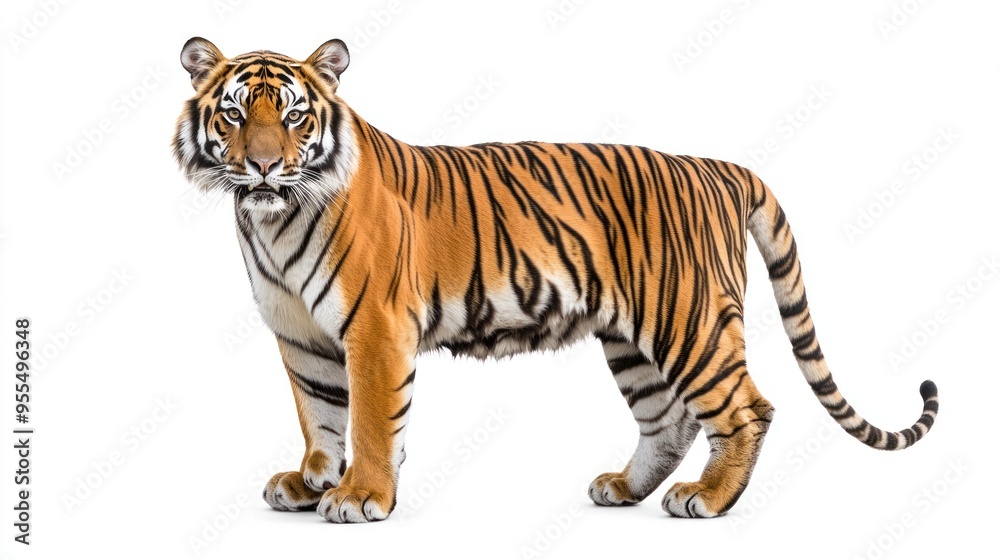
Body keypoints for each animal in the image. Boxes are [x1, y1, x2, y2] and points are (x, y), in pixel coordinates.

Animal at [172, 37, 939, 523]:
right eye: (234, 113)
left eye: (294, 115)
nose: (264, 165)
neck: (271, 220)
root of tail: (719, 167)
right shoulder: (300, 334)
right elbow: (321, 413)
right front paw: (310, 482)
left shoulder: (375, 328)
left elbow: (368, 420)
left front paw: (361, 496)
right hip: (633, 340)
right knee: (669, 420)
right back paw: (624, 488)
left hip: (689, 319)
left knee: (746, 408)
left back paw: (709, 499)